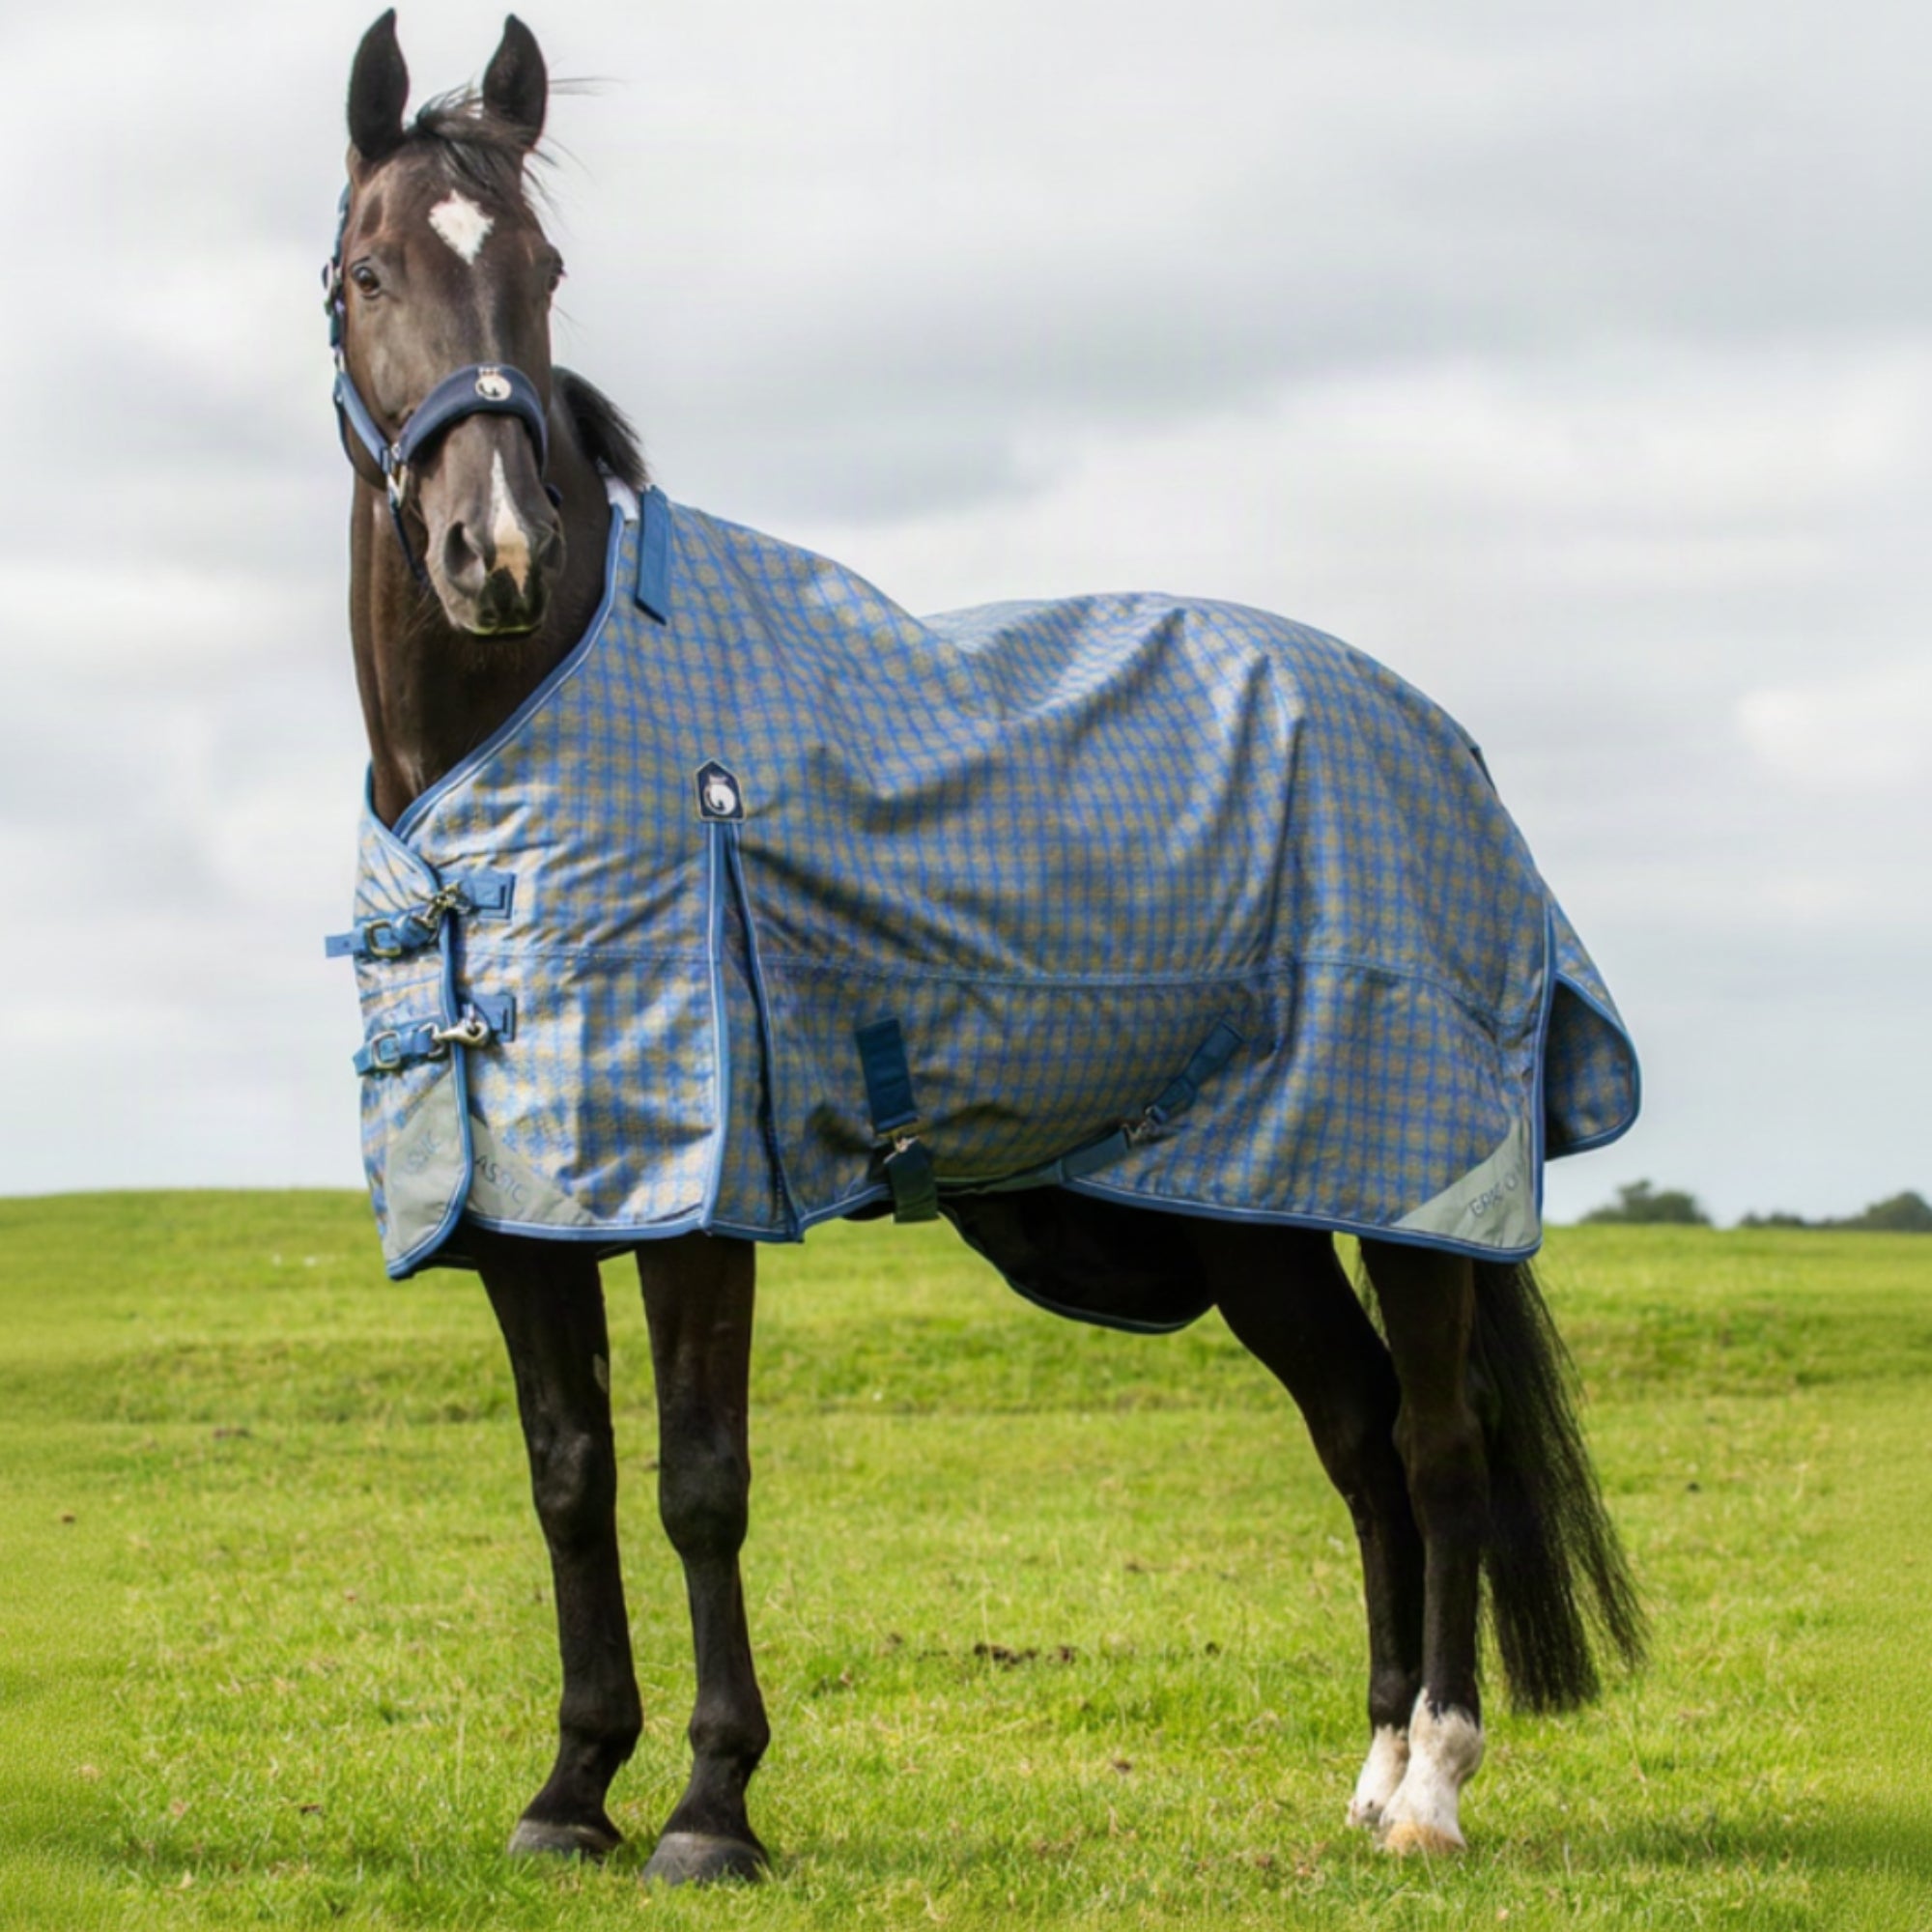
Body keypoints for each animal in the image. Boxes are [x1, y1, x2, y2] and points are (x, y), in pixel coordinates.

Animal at [325, 11, 1645, 1882]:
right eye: (368, 271)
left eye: (543, 273)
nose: (495, 551)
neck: (522, 728)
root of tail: (1438, 733)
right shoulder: (526, 1199)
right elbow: (569, 1477)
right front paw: (573, 1789)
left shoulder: (702, 1190)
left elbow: (699, 1480)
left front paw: (711, 1807)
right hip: (1249, 1210)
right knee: (1362, 1441)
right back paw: (1376, 1763)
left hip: (1413, 1195)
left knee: (1443, 1447)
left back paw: (1433, 1791)